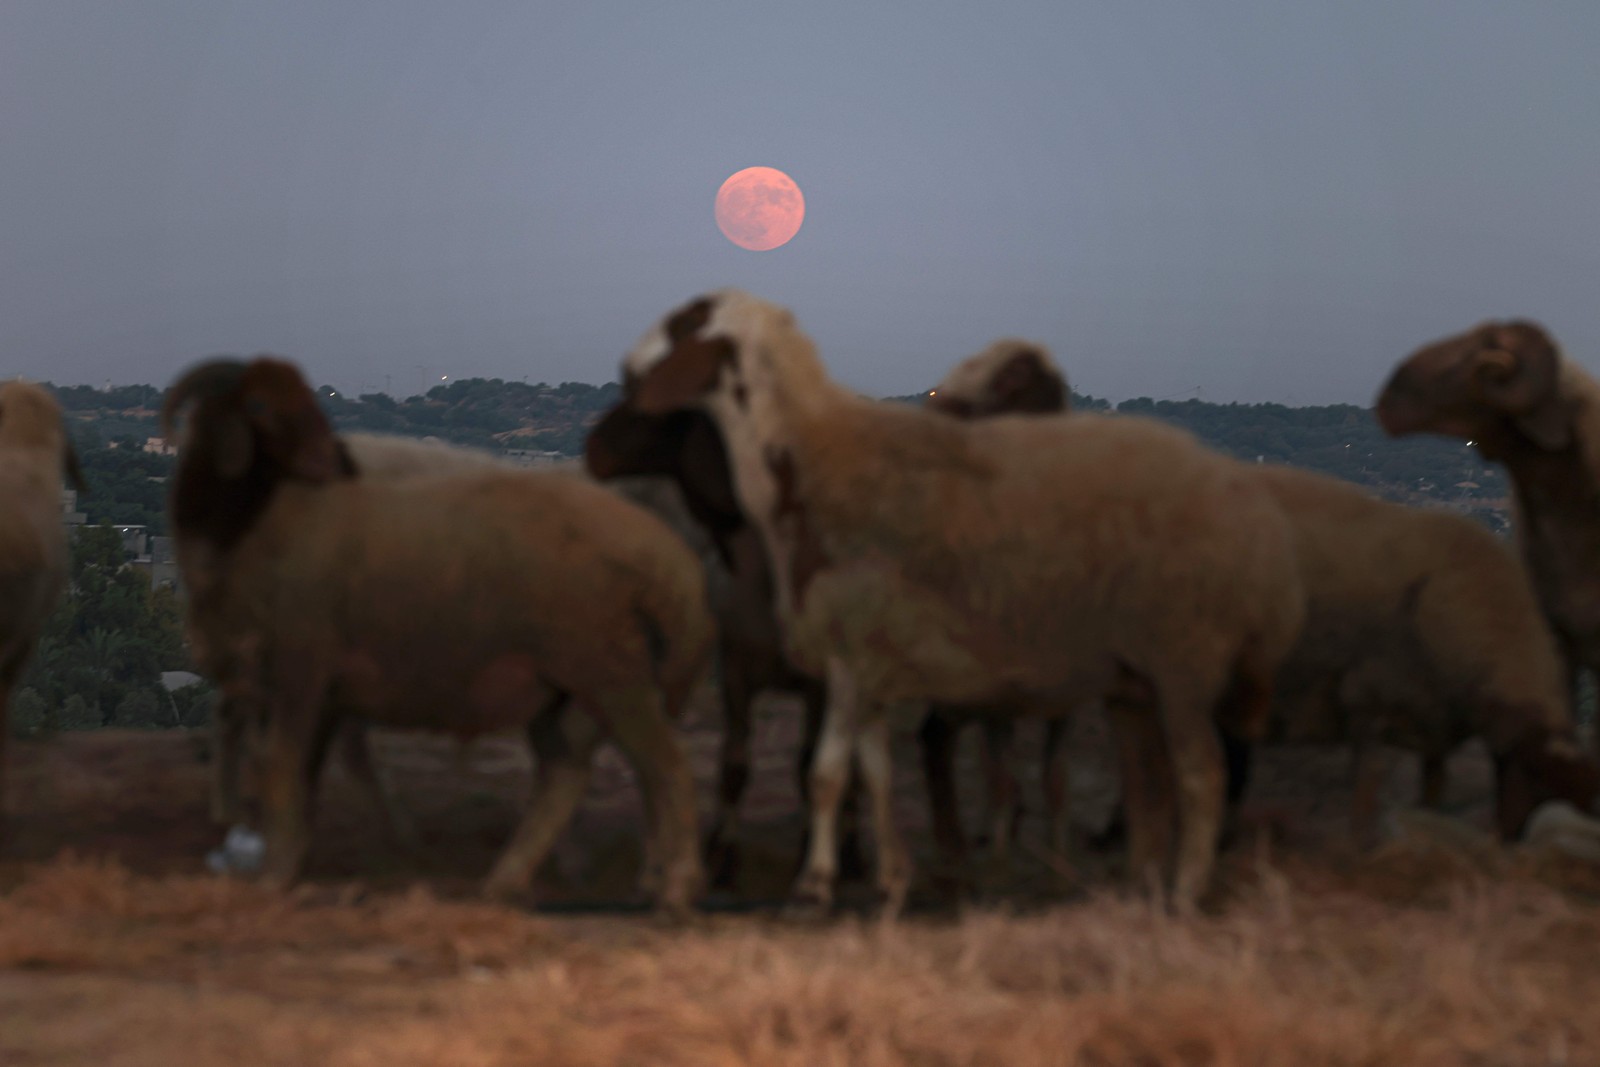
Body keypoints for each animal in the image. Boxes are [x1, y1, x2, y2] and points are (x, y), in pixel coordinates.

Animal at [165, 358, 710, 921]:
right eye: (256, 404)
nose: (333, 461)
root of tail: (661, 554)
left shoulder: (301, 668)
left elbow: (286, 764)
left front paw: (279, 868)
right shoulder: (308, 681)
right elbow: (300, 768)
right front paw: (290, 860)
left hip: (608, 676)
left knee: (661, 769)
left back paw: (669, 888)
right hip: (567, 687)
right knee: (573, 772)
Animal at [617, 292, 1305, 921]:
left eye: (684, 324)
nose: (626, 371)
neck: (814, 460)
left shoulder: (856, 659)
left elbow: (831, 774)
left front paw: (815, 889)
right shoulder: (868, 665)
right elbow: (875, 769)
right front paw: (891, 879)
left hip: (1182, 659)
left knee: (1202, 774)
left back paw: (1182, 894)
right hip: (1135, 680)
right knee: (1145, 783)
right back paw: (1130, 887)